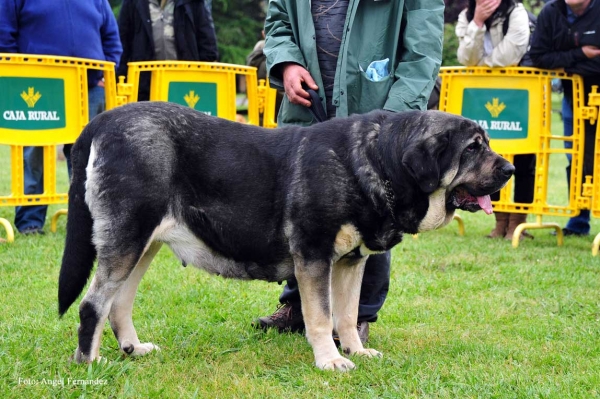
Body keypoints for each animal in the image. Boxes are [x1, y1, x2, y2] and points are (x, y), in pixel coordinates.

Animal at [57, 102, 516, 372]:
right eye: (473, 148)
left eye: (486, 143)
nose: (511, 169)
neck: (377, 161)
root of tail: (104, 119)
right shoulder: (313, 256)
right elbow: (320, 317)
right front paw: (330, 361)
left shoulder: (351, 262)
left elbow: (346, 316)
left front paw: (356, 351)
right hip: (127, 241)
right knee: (93, 304)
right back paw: (90, 363)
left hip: (143, 245)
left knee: (119, 304)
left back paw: (133, 349)